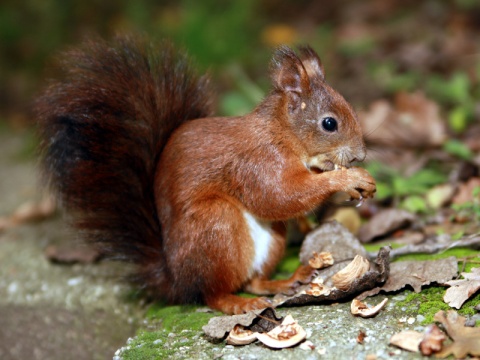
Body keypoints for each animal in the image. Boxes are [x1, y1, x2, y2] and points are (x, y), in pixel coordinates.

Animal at [36, 35, 376, 314]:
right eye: (329, 123)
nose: (360, 154)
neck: (282, 132)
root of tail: (175, 279)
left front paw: (316, 213)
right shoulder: (257, 162)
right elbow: (277, 197)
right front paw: (348, 179)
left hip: (270, 240)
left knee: (252, 281)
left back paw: (283, 281)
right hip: (216, 224)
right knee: (212, 294)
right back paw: (239, 303)